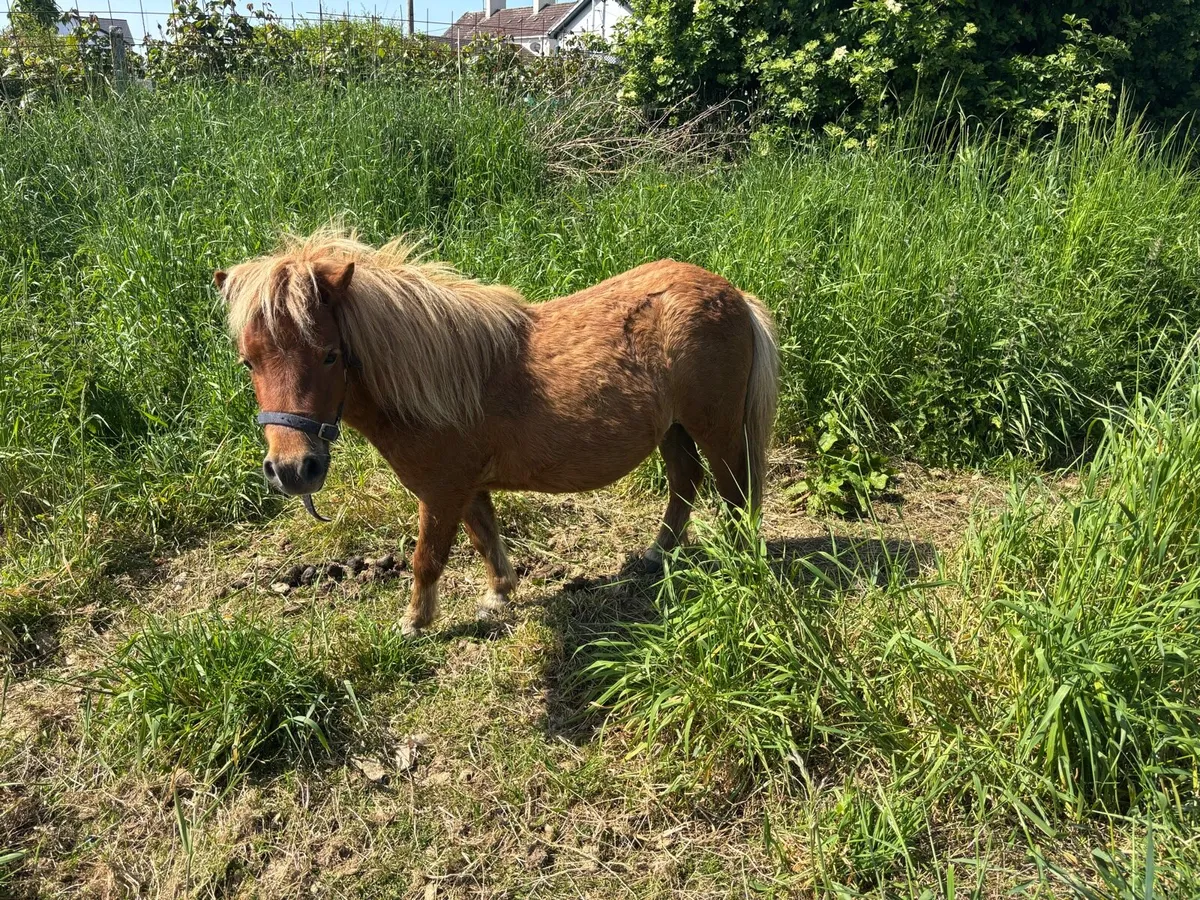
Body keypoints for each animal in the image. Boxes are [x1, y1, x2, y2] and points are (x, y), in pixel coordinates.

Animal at [216, 230, 779, 634]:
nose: (293, 470)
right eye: (248, 362)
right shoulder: (466, 488)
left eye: (330, 355)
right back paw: (658, 553)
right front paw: (498, 594)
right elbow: (484, 536)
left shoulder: (441, 491)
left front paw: (414, 623)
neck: (439, 381)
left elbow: (427, 559)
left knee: (734, 491)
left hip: (717, 429)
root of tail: (733, 295)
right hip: (673, 429)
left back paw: (735, 559)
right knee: (686, 480)